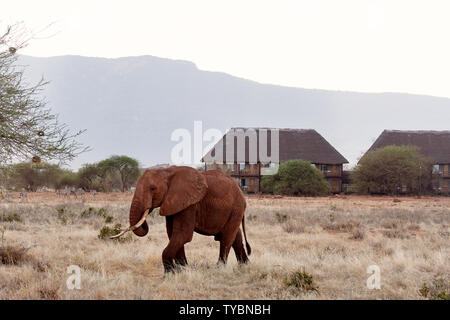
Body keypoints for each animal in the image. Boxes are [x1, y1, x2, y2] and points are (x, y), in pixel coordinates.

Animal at [112, 165, 251, 272]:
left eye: (153, 189)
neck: (167, 171)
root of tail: (241, 191)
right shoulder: (173, 203)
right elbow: (172, 233)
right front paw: (182, 269)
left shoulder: (189, 204)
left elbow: (183, 234)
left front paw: (170, 273)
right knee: (236, 237)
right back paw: (245, 265)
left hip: (236, 208)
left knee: (226, 238)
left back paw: (219, 268)